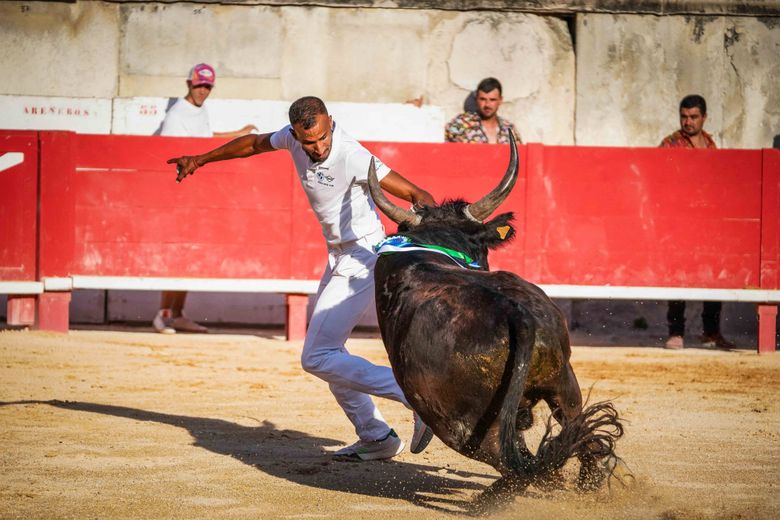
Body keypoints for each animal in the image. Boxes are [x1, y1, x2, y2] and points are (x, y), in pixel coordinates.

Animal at [368, 132, 632, 494]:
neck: (434, 245)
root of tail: (515, 314)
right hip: (561, 380)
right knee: (569, 435)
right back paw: (583, 487)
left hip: (459, 424)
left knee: (516, 465)